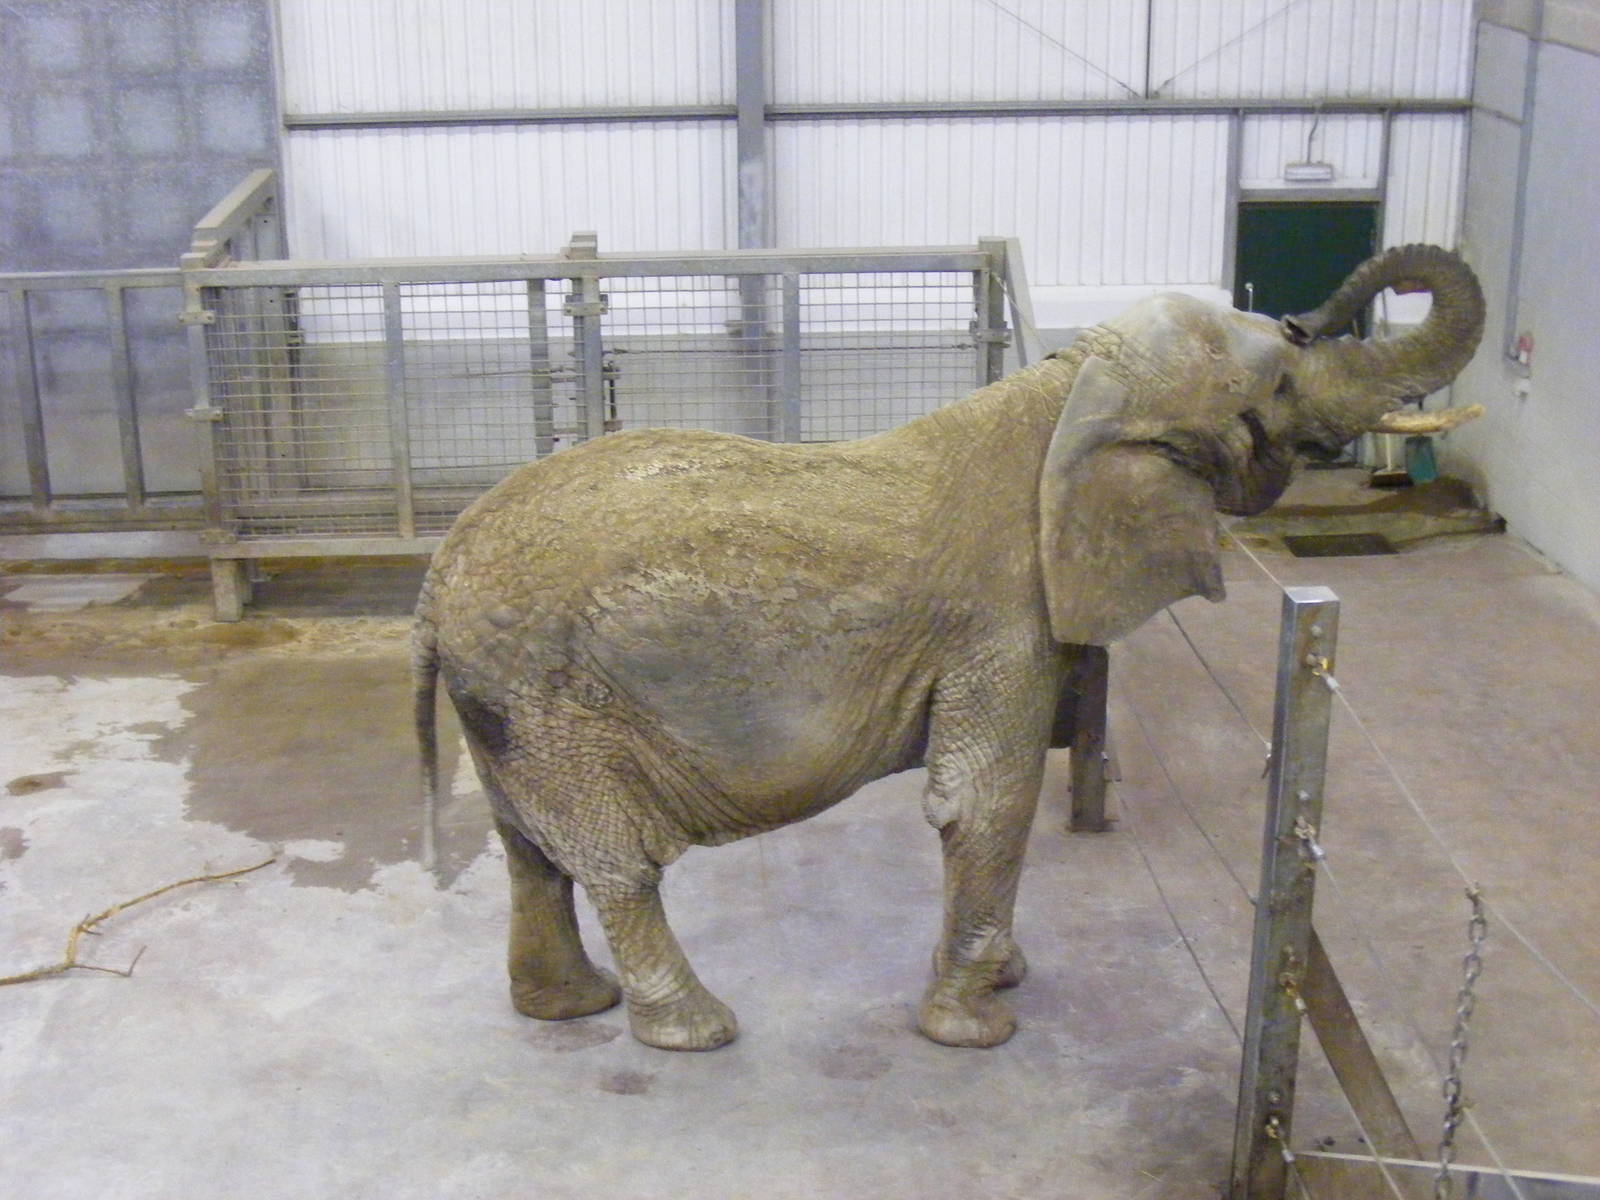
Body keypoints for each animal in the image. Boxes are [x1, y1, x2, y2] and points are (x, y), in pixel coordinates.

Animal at [413, 244, 1484, 1052]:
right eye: (1283, 379)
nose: (1305, 314)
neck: (1070, 388)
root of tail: (430, 589)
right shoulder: (1002, 617)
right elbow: (986, 799)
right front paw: (978, 1026)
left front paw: (1001, 979)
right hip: (548, 697)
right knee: (616, 861)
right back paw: (695, 1031)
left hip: (507, 708)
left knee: (528, 850)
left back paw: (566, 1009)